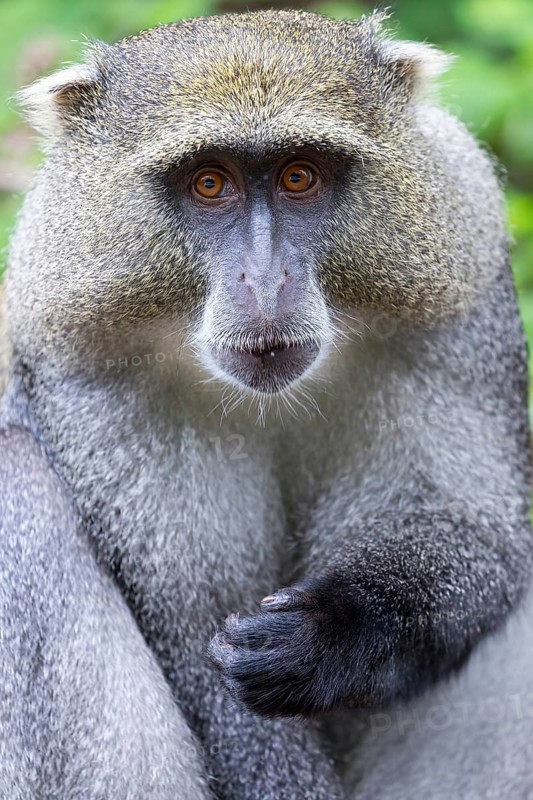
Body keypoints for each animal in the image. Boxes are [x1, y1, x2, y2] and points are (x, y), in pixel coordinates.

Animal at [1, 8, 532, 799]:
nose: (266, 281)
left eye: (298, 176)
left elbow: (472, 526)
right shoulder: (81, 360)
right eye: (209, 183)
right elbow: (193, 633)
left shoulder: (457, 283)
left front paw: (337, 630)